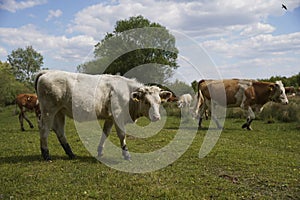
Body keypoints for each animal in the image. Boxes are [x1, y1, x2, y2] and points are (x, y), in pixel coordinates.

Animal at [34, 70, 171, 161]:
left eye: (159, 102)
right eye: (146, 102)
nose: (157, 117)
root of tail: (48, 72)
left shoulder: (110, 118)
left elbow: (106, 133)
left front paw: (100, 151)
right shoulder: (117, 115)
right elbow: (122, 135)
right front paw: (126, 154)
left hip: (59, 112)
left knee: (60, 131)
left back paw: (70, 154)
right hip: (48, 110)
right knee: (44, 129)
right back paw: (46, 154)